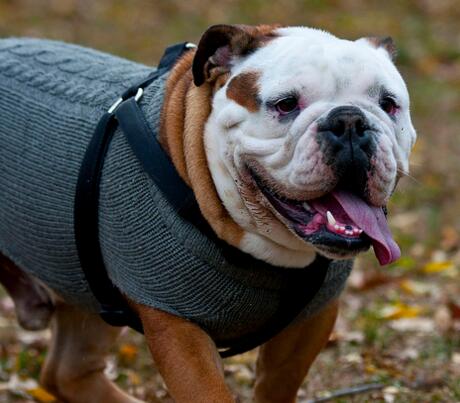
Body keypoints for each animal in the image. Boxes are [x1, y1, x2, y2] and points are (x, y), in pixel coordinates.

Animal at [0, 24, 416, 402]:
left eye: (389, 104)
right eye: (285, 104)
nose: (350, 121)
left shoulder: (311, 321)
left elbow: (276, 387)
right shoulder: (177, 327)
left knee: (68, 374)